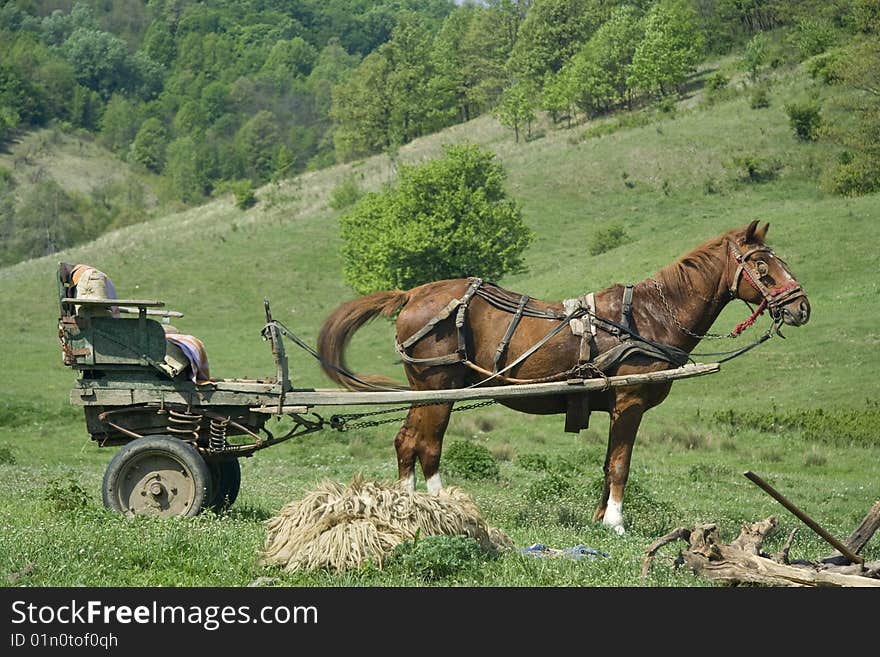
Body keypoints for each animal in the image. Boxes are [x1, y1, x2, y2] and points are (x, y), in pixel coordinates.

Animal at [316, 220, 812, 532]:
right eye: (763, 266)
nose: (802, 308)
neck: (648, 316)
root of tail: (413, 294)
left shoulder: (616, 405)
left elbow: (609, 462)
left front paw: (599, 519)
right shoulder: (630, 401)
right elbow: (621, 464)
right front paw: (616, 523)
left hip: (427, 389)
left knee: (406, 442)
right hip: (439, 388)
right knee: (426, 445)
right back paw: (437, 507)